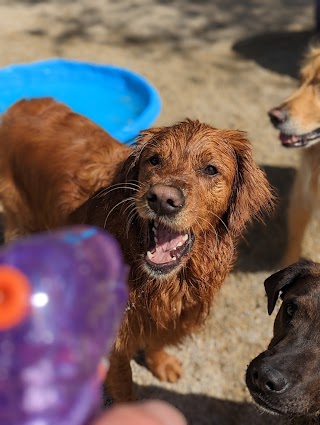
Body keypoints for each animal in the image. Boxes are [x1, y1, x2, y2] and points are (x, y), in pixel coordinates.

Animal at [0, 97, 276, 400]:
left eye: (211, 169)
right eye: (154, 160)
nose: (163, 199)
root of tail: (24, 102)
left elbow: (156, 339)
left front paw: (161, 362)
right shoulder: (116, 339)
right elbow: (125, 388)